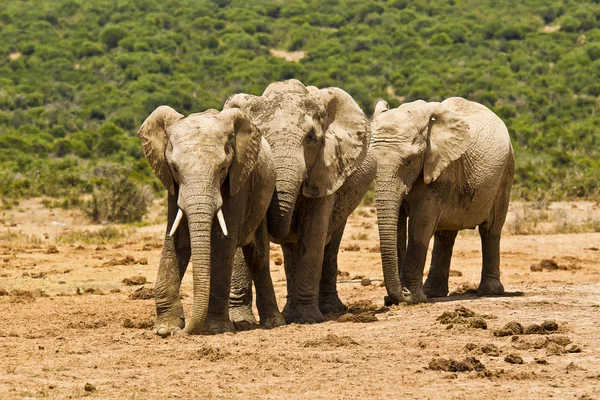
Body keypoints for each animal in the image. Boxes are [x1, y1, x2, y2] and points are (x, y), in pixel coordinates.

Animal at [138, 105, 284, 334]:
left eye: (223, 168)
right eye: (175, 168)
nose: (182, 330)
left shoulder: (238, 181)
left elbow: (223, 244)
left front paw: (216, 329)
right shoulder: (173, 186)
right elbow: (176, 239)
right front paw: (164, 329)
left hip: (262, 199)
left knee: (257, 256)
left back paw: (273, 323)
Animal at [224, 79, 376, 324]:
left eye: (311, 138)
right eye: (260, 136)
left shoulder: (327, 169)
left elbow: (314, 232)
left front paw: (307, 318)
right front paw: (241, 321)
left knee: (330, 242)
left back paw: (330, 310)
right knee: (291, 248)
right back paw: (289, 311)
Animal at [372, 98, 512, 304]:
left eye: (409, 161)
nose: (400, 295)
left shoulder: (441, 169)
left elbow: (421, 225)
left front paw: (413, 298)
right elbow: (398, 225)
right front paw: (400, 297)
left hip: (505, 172)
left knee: (490, 229)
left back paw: (490, 291)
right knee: (445, 235)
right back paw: (433, 292)